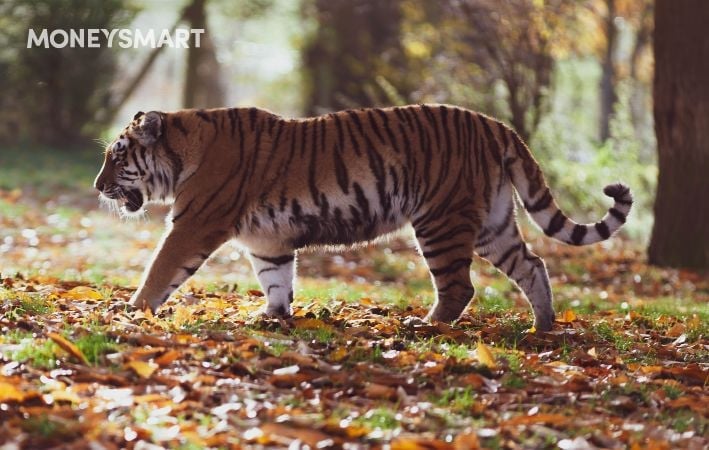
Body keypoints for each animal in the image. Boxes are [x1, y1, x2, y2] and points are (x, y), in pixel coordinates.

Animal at [94, 105, 632, 331]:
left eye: (117, 158)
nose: (98, 187)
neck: (185, 148)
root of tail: (496, 125)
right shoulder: (267, 241)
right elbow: (276, 279)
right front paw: (272, 316)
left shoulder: (194, 224)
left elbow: (160, 268)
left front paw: (132, 310)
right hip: (492, 224)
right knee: (533, 265)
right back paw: (543, 327)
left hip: (441, 221)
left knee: (460, 286)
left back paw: (426, 326)